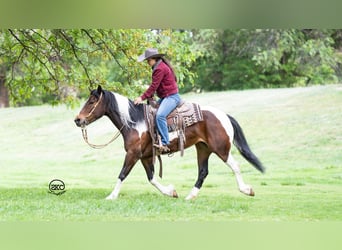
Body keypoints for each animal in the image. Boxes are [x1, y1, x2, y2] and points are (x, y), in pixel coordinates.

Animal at [74, 85, 264, 200]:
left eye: (92, 101)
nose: (77, 120)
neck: (134, 122)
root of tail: (224, 115)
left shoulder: (133, 154)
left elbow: (122, 174)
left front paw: (111, 196)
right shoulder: (145, 156)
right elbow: (151, 178)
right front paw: (170, 191)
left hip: (221, 149)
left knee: (235, 166)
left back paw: (246, 190)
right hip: (203, 148)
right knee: (203, 172)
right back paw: (190, 196)